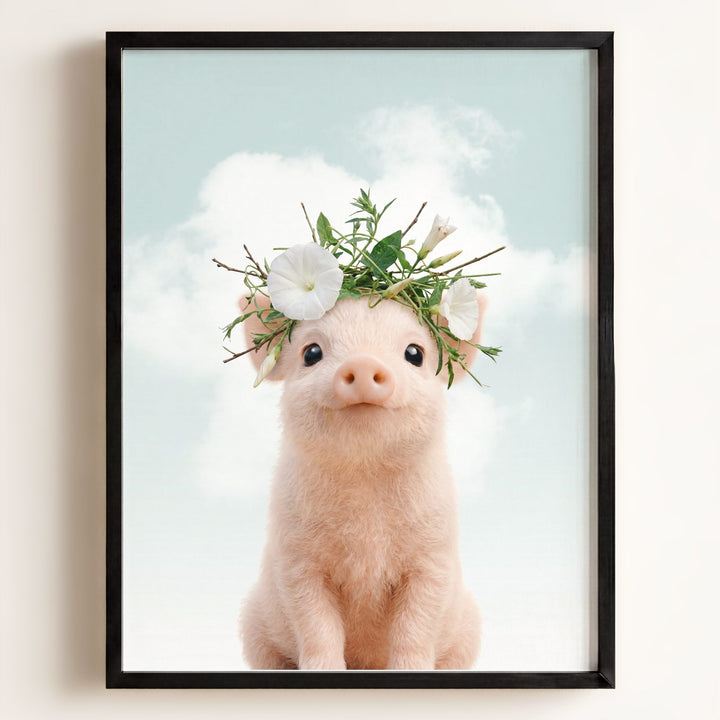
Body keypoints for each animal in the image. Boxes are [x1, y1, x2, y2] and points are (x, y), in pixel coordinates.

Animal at [240, 293, 486, 670]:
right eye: (311, 353)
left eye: (415, 353)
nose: (364, 362)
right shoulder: (296, 560)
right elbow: (316, 626)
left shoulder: (433, 557)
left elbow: (415, 627)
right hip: (252, 624)